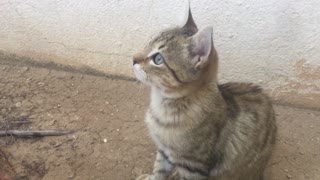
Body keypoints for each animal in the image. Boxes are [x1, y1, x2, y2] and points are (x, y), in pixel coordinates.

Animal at [132, 7, 278, 180]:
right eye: (148, 44)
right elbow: (159, 170)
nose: (133, 59)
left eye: (158, 59)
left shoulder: (192, 168)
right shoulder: (164, 151)